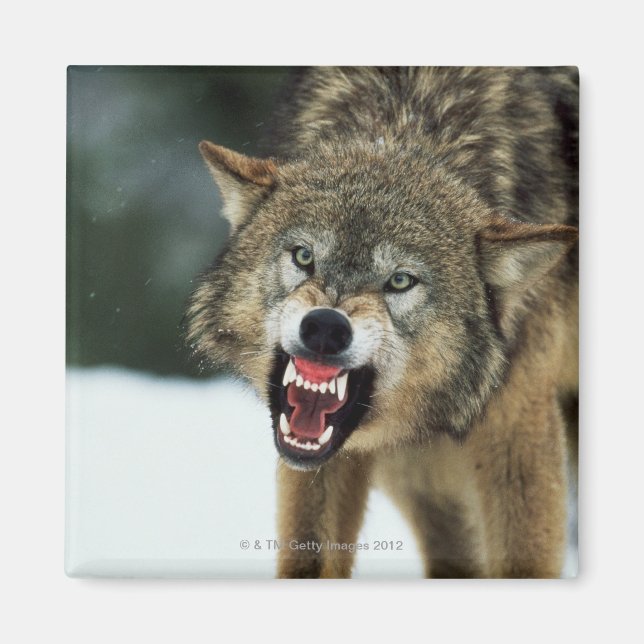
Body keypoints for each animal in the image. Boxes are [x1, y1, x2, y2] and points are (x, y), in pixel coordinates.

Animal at [186, 67, 578, 578]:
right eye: (304, 256)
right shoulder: (330, 459)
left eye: (400, 281)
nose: (325, 327)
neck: (407, 119)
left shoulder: (518, 431)